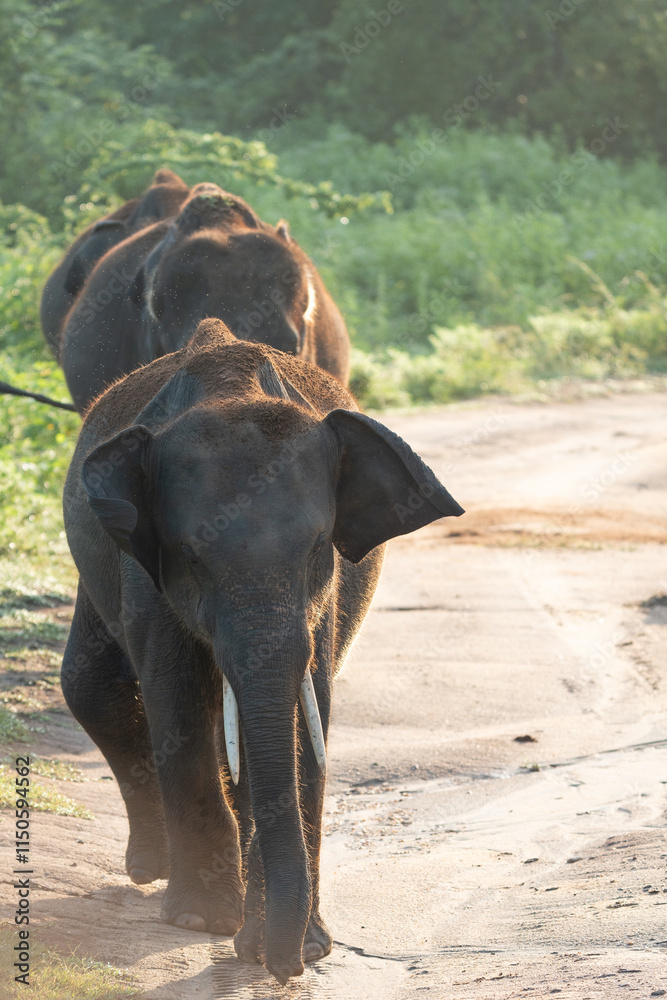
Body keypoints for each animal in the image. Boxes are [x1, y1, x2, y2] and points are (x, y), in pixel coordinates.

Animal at [61, 317, 463, 985]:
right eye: (193, 556)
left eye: (318, 547)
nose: (284, 970)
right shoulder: (146, 570)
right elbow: (178, 701)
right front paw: (201, 922)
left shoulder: (325, 597)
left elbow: (305, 717)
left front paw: (299, 948)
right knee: (94, 687)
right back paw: (155, 872)